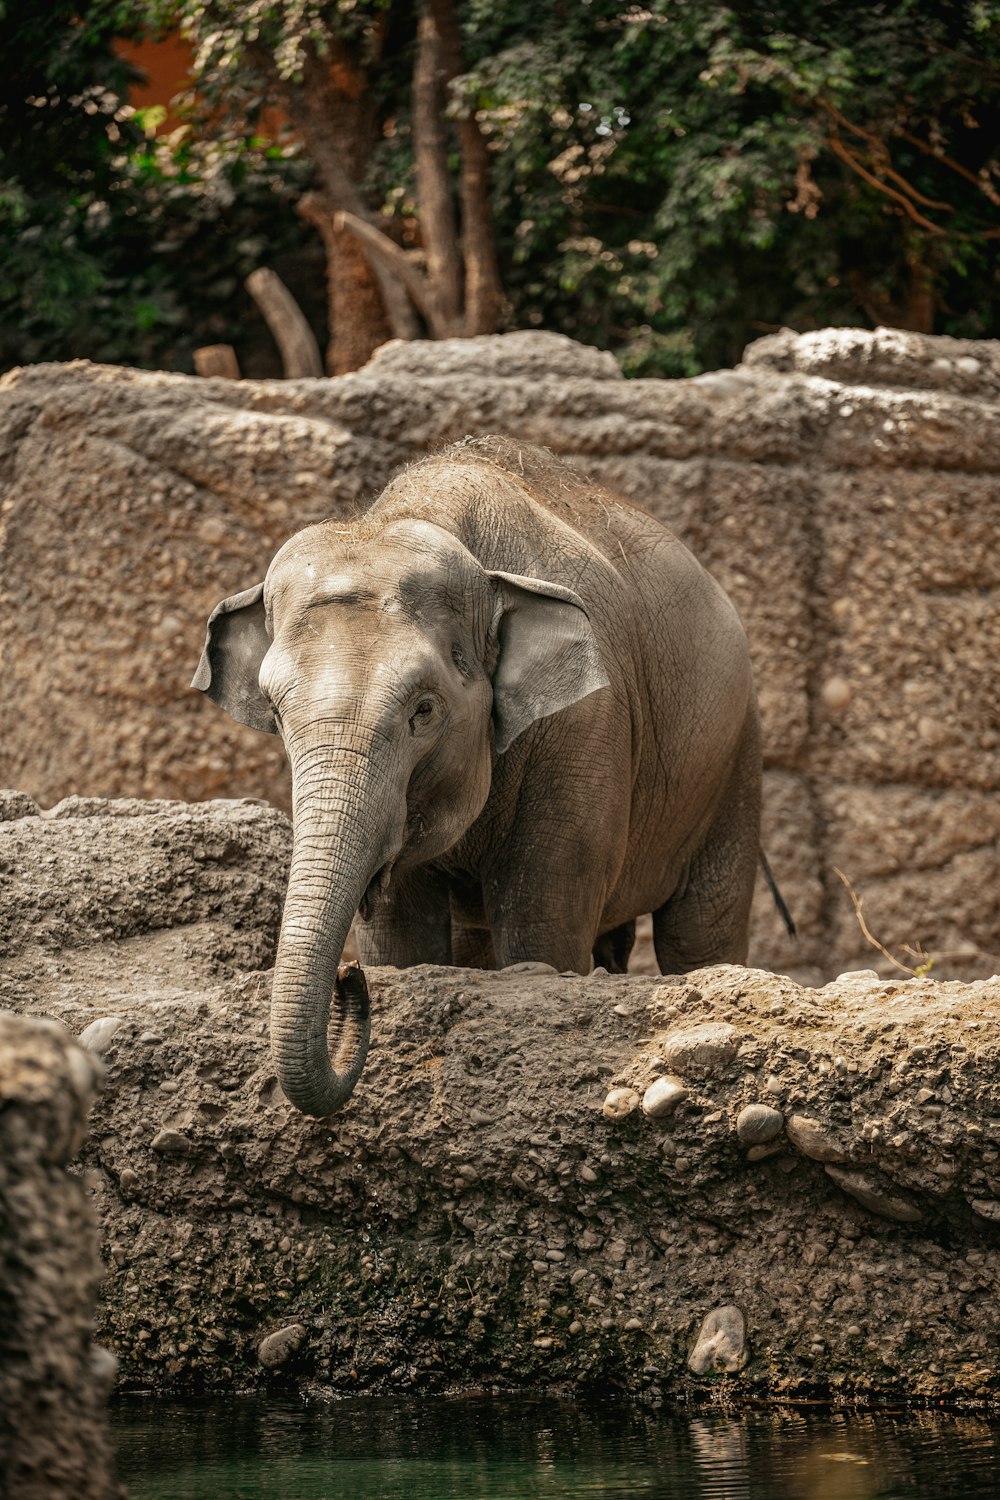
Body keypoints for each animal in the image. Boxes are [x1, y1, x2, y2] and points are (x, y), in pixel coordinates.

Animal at [193, 435, 758, 1116]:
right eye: (274, 712)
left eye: (424, 710)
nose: (349, 979)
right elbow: (404, 939)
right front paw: (390, 967)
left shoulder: (586, 724)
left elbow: (541, 928)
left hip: (733, 761)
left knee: (700, 931)